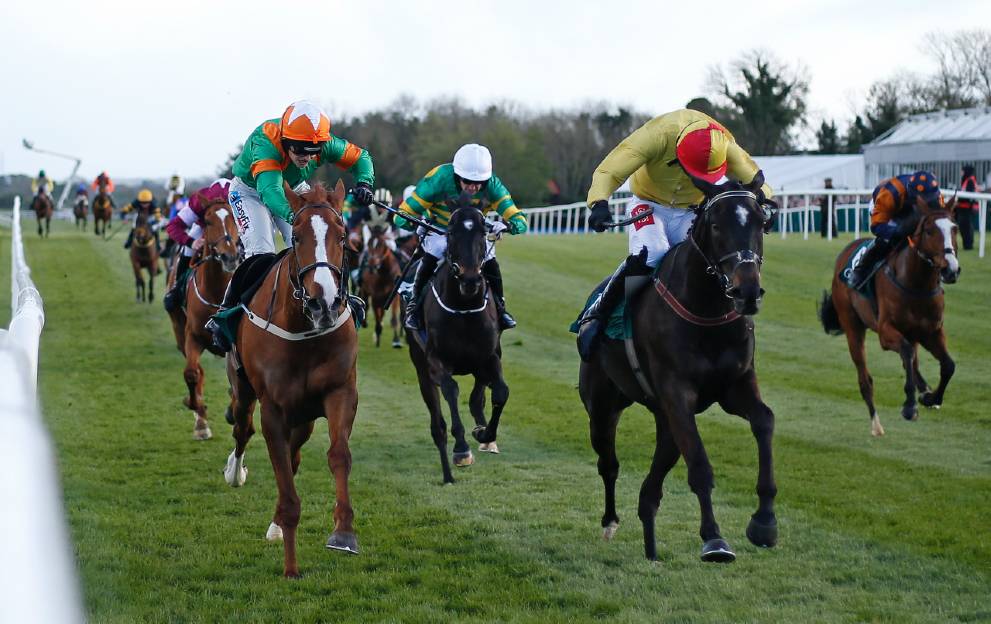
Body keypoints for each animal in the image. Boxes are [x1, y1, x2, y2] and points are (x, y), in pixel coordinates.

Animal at [168, 200, 241, 438]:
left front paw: (231, 411)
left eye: (234, 217)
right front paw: (196, 409)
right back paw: (200, 419)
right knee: (197, 372)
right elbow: (192, 374)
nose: (230, 256)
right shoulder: (193, 337)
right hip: (178, 328)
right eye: (208, 221)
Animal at [223, 180, 362, 580]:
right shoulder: (272, 408)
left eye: (343, 236)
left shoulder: (341, 391)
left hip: (304, 416)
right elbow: (283, 479)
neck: (304, 329)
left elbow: (338, 455)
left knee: (294, 454)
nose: (324, 303)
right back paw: (234, 472)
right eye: (296, 237)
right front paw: (290, 568)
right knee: (242, 431)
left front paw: (344, 532)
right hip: (245, 392)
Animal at [406, 193, 508, 486]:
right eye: (450, 232)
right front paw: (462, 449)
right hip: (420, 367)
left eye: (484, 231)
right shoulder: (434, 361)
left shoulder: (489, 356)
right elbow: (451, 390)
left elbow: (500, 393)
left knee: (478, 397)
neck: (464, 307)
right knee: (437, 424)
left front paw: (484, 434)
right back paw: (448, 473)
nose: (470, 278)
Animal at [580, 172, 784, 564]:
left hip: (664, 421)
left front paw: (764, 522)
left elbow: (765, 421)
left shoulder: (735, 385)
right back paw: (610, 522)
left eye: (761, 223)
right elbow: (700, 466)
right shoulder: (677, 393)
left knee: (650, 492)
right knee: (608, 464)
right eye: (717, 225)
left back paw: (651, 550)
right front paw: (714, 539)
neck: (707, 309)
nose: (748, 292)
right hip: (602, 405)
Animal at [820, 197, 960, 436]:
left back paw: (925, 390)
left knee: (913, 360)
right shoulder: (885, 332)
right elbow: (905, 353)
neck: (916, 283)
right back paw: (876, 425)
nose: (951, 270)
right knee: (866, 379)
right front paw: (910, 406)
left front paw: (931, 397)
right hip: (852, 324)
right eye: (929, 231)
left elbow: (948, 365)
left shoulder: (932, 331)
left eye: (955, 229)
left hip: (913, 333)